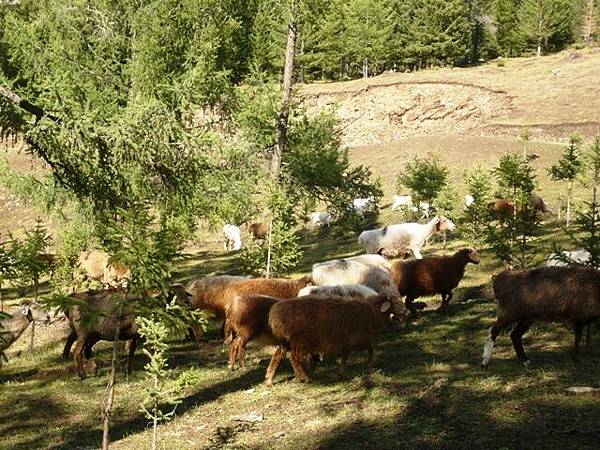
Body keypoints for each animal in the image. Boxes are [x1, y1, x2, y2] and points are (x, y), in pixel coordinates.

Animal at [266, 294, 410, 384]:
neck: (373, 311)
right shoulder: (356, 339)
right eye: (395, 303)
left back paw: (269, 380)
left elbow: (348, 356)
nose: (407, 312)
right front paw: (367, 367)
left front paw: (342, 372)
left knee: (277, 356)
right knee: (294, 359)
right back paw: (304, 378)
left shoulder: (347, 341)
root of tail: (275, 314)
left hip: (286, 342)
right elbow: (369, 350)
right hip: (299, 341)